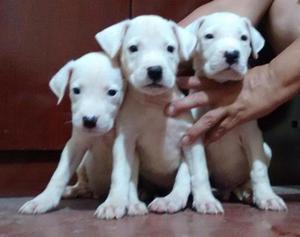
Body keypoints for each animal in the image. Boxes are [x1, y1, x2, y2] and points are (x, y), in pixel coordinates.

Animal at [18, 52, 124, 215]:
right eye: (76, 90)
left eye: (112, 92)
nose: (89, 121)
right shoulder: (76, 144)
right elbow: (60, 173)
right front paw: (43, 200)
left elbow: (120, 172)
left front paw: (114, 203)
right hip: (83, 165)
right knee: (83, 185)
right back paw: (72, 191)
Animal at [95, 14, 224, 219]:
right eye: (133, 48)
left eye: (170, 48)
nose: (155, 70)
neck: (154, 103)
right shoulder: (125, 142)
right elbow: (120, 174)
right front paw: (113, 203)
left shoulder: (191, 139)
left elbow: (198, 172)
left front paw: (205, 200)